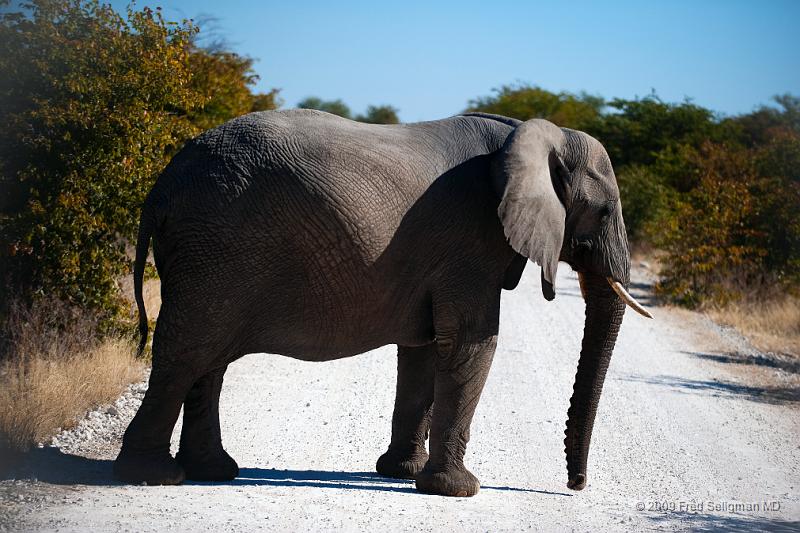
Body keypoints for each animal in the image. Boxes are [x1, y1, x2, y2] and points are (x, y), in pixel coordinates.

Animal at [112, 110, 648, 496]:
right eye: (606, 212)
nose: (575, 485)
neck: (532, 133)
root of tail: (161, 185)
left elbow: (426, 349)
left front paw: (400, 472)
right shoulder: (473, 240)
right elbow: (471, 343)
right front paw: (458, 491)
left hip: (209, 250)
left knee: (209, 359)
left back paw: (213, 472)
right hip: (215, 243)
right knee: (188, 350)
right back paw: (153, 476)